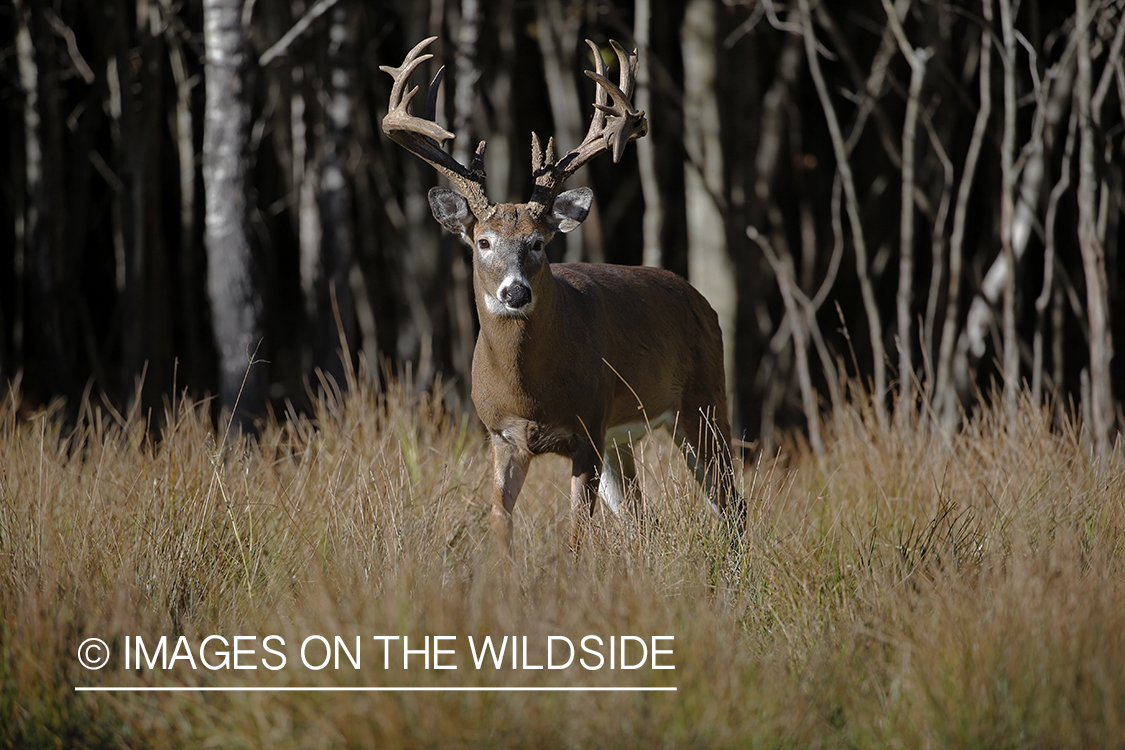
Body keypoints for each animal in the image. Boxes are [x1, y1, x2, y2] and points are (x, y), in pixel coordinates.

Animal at [380, 38, 747, 555]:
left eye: (538, 242)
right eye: (482, 242)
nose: (515, 291)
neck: (530, 391)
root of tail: (701, 300)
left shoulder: (587, 428)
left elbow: (576, 533)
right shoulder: (503, 436)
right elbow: (499, 521)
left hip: (703, 401)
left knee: (732, 504)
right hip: (623, 437)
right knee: (643, 518)